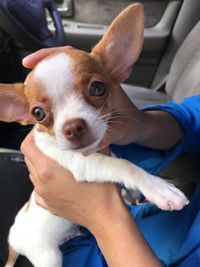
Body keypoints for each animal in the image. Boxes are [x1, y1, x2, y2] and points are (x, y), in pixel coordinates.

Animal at [1, 4, 189, 267]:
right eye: (38, 114)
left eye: (97, 88)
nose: (73, 127)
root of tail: (13, 240)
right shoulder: (82, 165)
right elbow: (124, 165)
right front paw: (158, 188)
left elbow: (121, 163)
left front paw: (133, 192)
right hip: (48, 256)